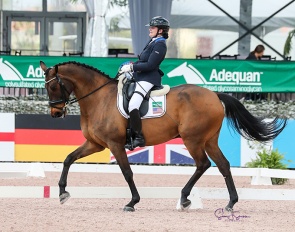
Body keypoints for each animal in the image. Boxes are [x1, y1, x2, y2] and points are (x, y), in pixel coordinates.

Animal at [40, 60, 286, 212]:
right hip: (208, 140)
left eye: (52, 88)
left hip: (192, 139)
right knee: (223, 165)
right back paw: (230, 203)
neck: (99, 99)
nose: (55, 113)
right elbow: (68, 159)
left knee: (203, 164)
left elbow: (127, 172)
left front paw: (132, 202)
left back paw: (185, 198)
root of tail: (214, 95)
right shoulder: (95, 144)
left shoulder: (114, 144)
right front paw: (62, 192)